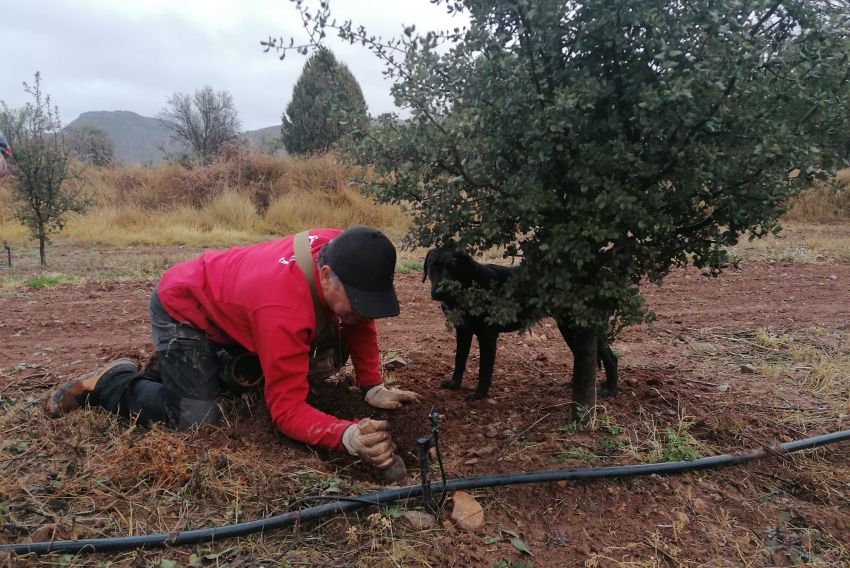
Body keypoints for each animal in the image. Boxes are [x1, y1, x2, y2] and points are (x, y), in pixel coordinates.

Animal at [422, 247, 616, 400]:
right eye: (433, 267)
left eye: (453, 267)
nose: (439, 291)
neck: (469, 286)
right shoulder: (463, 331)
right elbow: (459, 359)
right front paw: (455, 384)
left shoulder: (487, 336)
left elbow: (484, 369)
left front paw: (480, 395)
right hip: (568, 328)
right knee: (583, 356)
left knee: (611, 358)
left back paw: (612, 390)